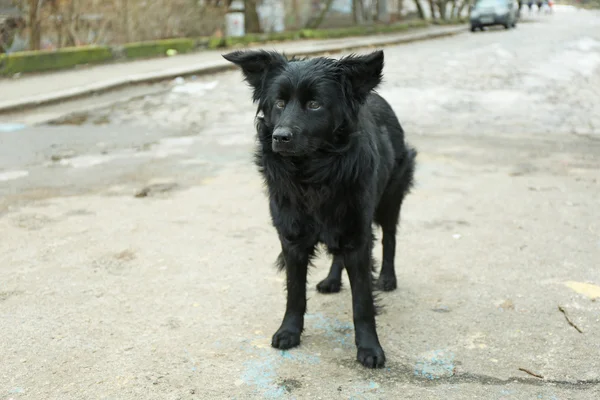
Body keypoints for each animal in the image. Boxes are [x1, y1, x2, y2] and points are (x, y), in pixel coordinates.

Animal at [223, 48, 414, 368]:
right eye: (279, 103)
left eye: (314, 104)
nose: (279, 137)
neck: (312, 172)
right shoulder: (292, 238)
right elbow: (295, 292)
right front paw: (289, 331)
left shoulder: (357, 235)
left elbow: (362, 302)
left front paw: (369, 348)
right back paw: (332, 280)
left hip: (389, 198)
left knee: (389, 237)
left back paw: (388, 278)